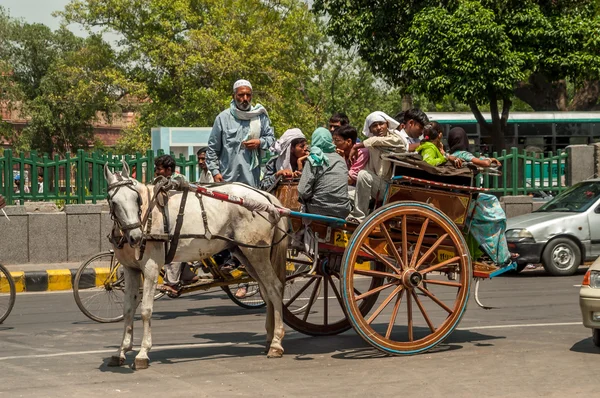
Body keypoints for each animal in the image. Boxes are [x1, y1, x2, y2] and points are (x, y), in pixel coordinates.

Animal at [103, 162, 288, 370]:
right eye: (114, 202)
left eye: (136, 199)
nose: (136, 237)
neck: (146, 216)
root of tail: (265, 198)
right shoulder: (131, 270)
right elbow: (128, 309)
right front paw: (121, 351)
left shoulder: (150, 268)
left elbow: (145, 310)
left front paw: (143, 353)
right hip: (245, 253)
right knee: (266, 291)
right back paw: (269, 338)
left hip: (257, 253)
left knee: (274, 288)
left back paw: (276, 343)